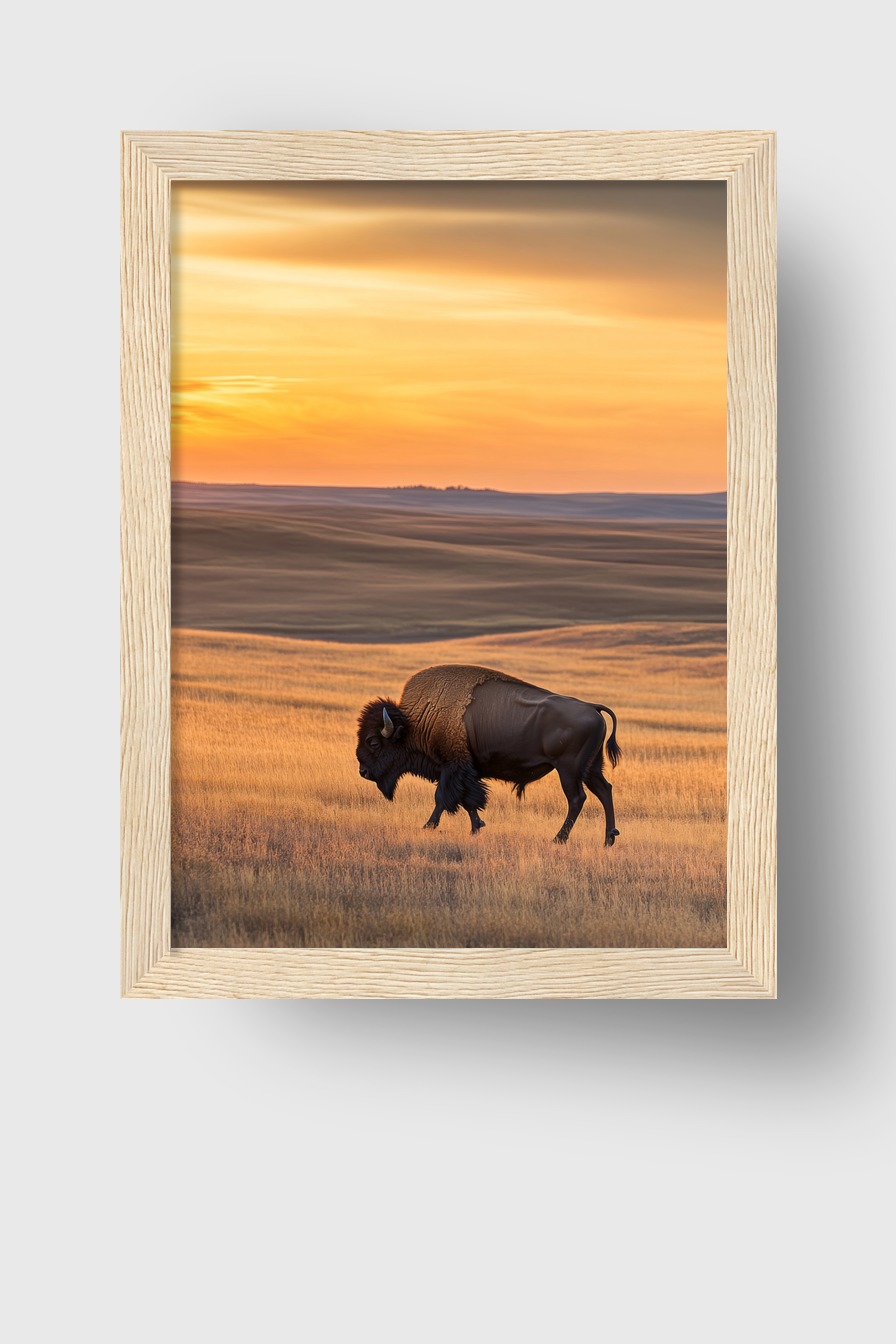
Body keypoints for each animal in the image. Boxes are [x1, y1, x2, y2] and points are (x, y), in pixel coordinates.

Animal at [356, 664, 620, 845]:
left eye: (373, 742)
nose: (363, 771)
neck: (416, 722)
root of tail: (593, 707)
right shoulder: (466, 771)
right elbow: (469, 800)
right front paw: (477, 827)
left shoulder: (452, 767)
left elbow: (443, 798)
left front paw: (428, 826)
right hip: (591, 768)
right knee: (604, 790)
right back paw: (609, 838)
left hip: (568, 770)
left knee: (577, 799)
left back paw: (559, 839)